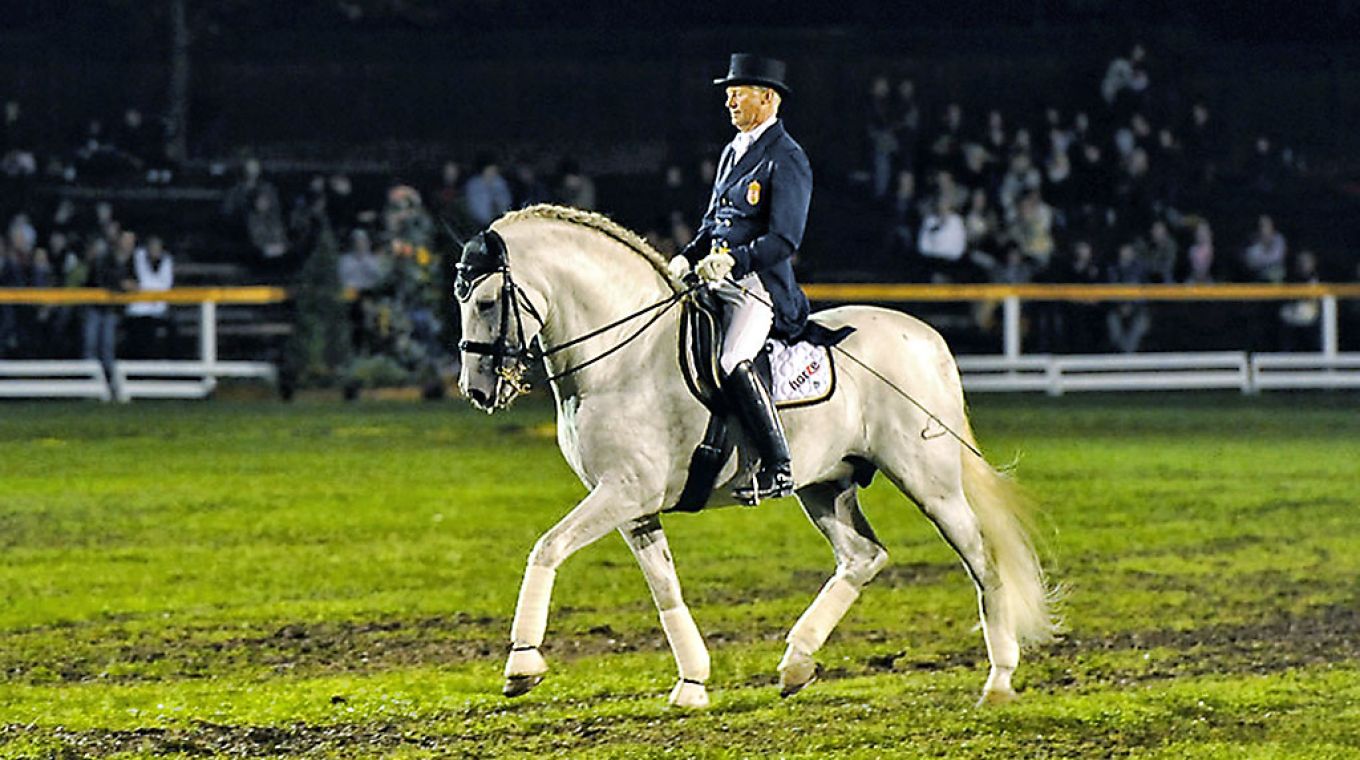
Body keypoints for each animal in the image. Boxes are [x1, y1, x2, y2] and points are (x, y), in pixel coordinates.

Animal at [451, 205, 1055, 712]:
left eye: (485, 302)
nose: (476, 391)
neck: (625, 359)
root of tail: (927, 338)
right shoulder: (633, 504)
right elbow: (665, 587)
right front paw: (692, 683)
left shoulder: (623, 490)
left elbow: (547, 548)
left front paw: (522, 665)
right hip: (825, 485)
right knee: (863, 557)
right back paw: (796, 663)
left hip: (929, 481)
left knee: (981, 558)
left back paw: (999, 679)